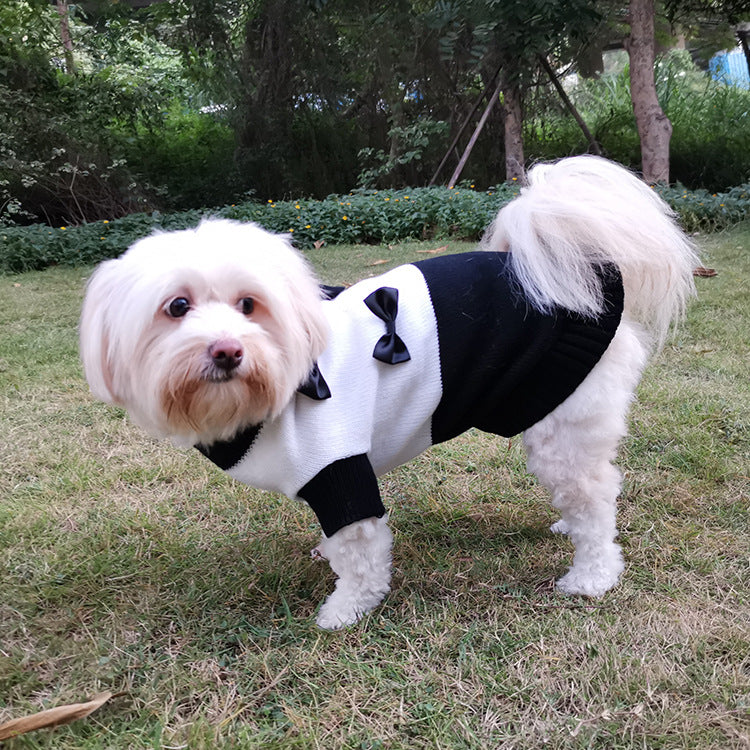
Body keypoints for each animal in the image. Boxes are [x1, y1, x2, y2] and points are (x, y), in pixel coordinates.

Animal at [79, 160, 704, 636]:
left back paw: (592, 574)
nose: (227, 351)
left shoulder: (338, 470)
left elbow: (360, 558)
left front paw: (342, 610)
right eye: (177, 307)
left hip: (564, 424)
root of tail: (580, 267)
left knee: (596, 500)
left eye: (249, 305)